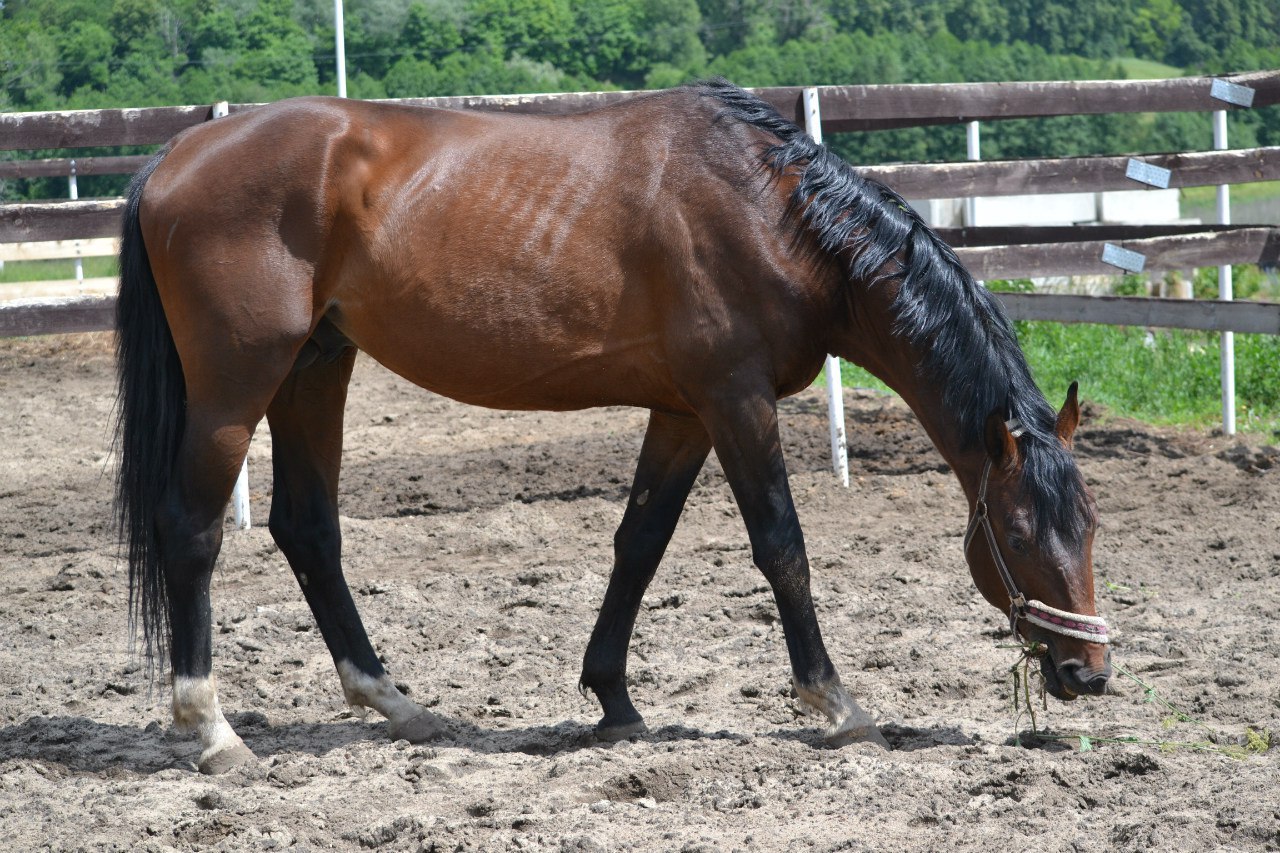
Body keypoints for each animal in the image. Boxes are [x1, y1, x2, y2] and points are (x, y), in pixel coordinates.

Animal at [115, 79, 1105, 768]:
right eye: (1017, 532)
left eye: (1091, 526)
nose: (1088, 671)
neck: (773, 212)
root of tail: (178, 154)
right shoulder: (736, 400)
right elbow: (781, 545)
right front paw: (835, 703)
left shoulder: (683, 411)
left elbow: (640, 543)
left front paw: (614, 701)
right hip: (239, 382)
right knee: (193, 529)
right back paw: (213, 730)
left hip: (318, 365)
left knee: (308, 528)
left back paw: (396, 702)